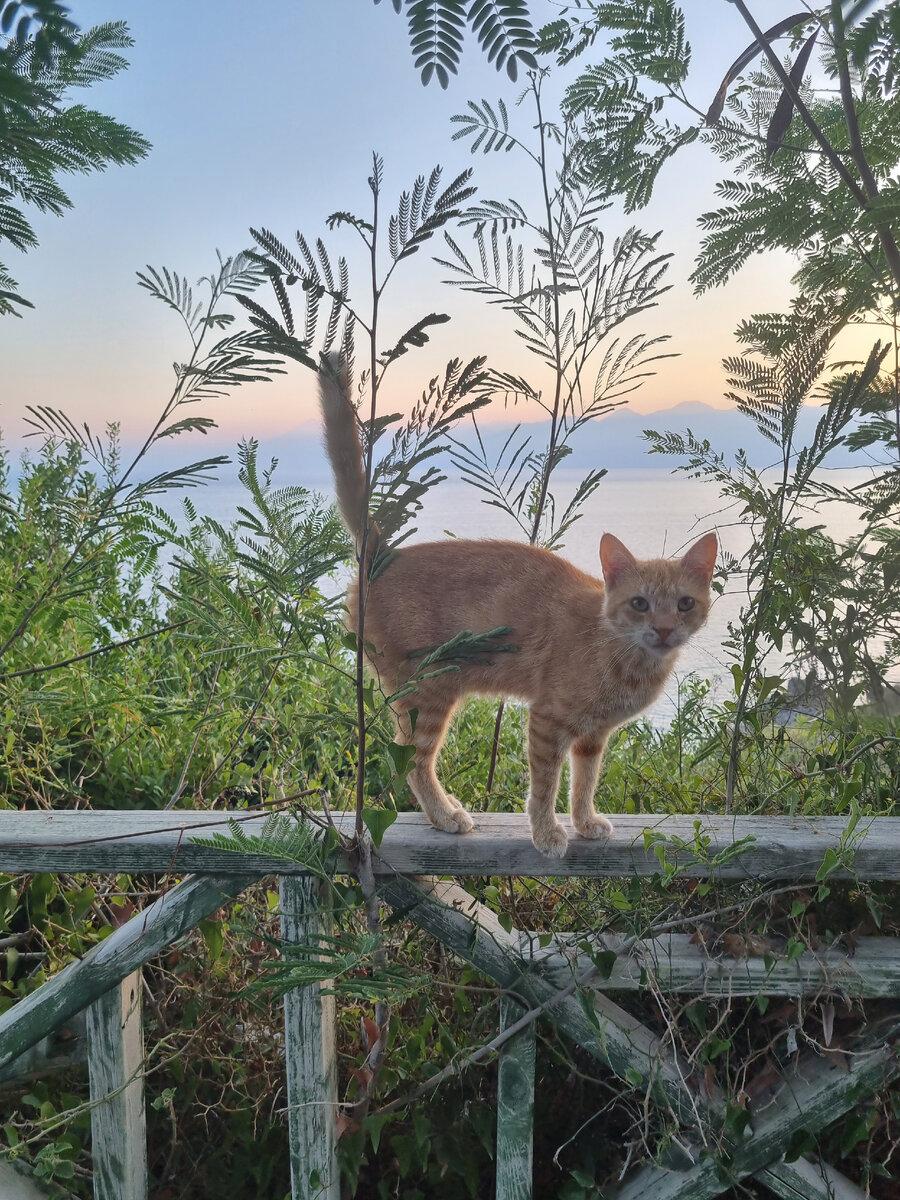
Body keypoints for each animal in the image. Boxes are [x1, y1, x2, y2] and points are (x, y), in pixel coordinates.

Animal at [319, 360, 720, 859]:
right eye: (640, 604)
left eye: (684, 604)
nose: (664, 631)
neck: (623, 656)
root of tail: (384, 552)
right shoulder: (547, 722)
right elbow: (545, 787)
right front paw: (547, 833)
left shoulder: (593, 737)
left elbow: (584, 784)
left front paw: (585, 822)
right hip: (429, 695)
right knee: (412, 761)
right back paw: (444, 814)